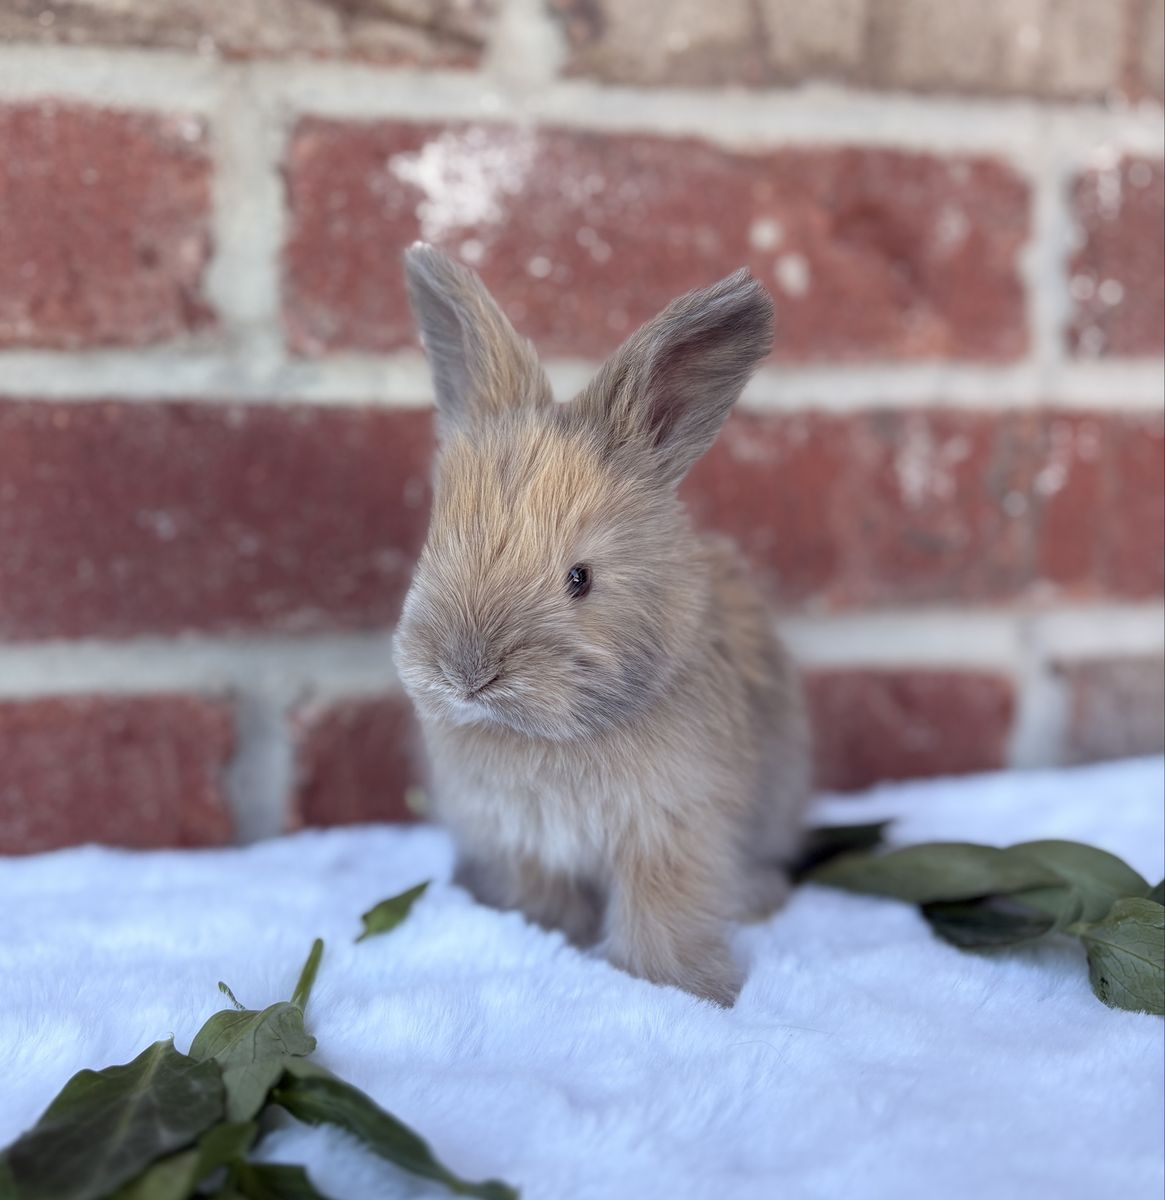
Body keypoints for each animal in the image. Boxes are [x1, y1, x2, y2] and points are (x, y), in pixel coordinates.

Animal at [393, 243, 812, 1006]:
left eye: (579, 578)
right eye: (435, 546)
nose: (467, 674)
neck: (551, 738)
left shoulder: (671, 832)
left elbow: (662, 915)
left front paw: (687, 991)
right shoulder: (522, 843)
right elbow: (542, 907)